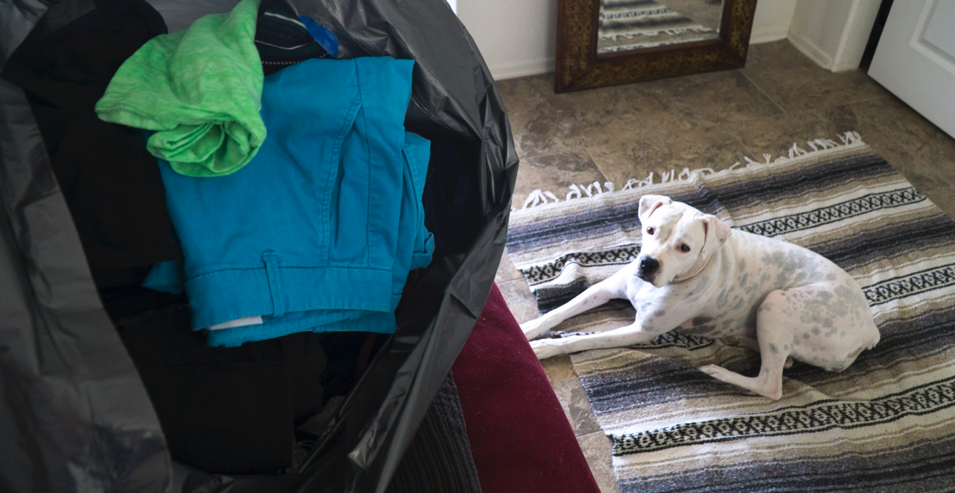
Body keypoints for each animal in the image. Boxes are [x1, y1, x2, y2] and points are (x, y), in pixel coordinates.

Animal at [524, 194, 880, 398]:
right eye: (650, 230)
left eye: (684, 247)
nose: (648, 263)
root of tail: (869, 329)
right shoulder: (606, 289)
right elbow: (560, 311)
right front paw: (527, 328)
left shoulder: (641, 331)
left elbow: (582, 339)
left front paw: (543, 348)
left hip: (776, 303)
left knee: (771, 385)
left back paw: (719, 372)